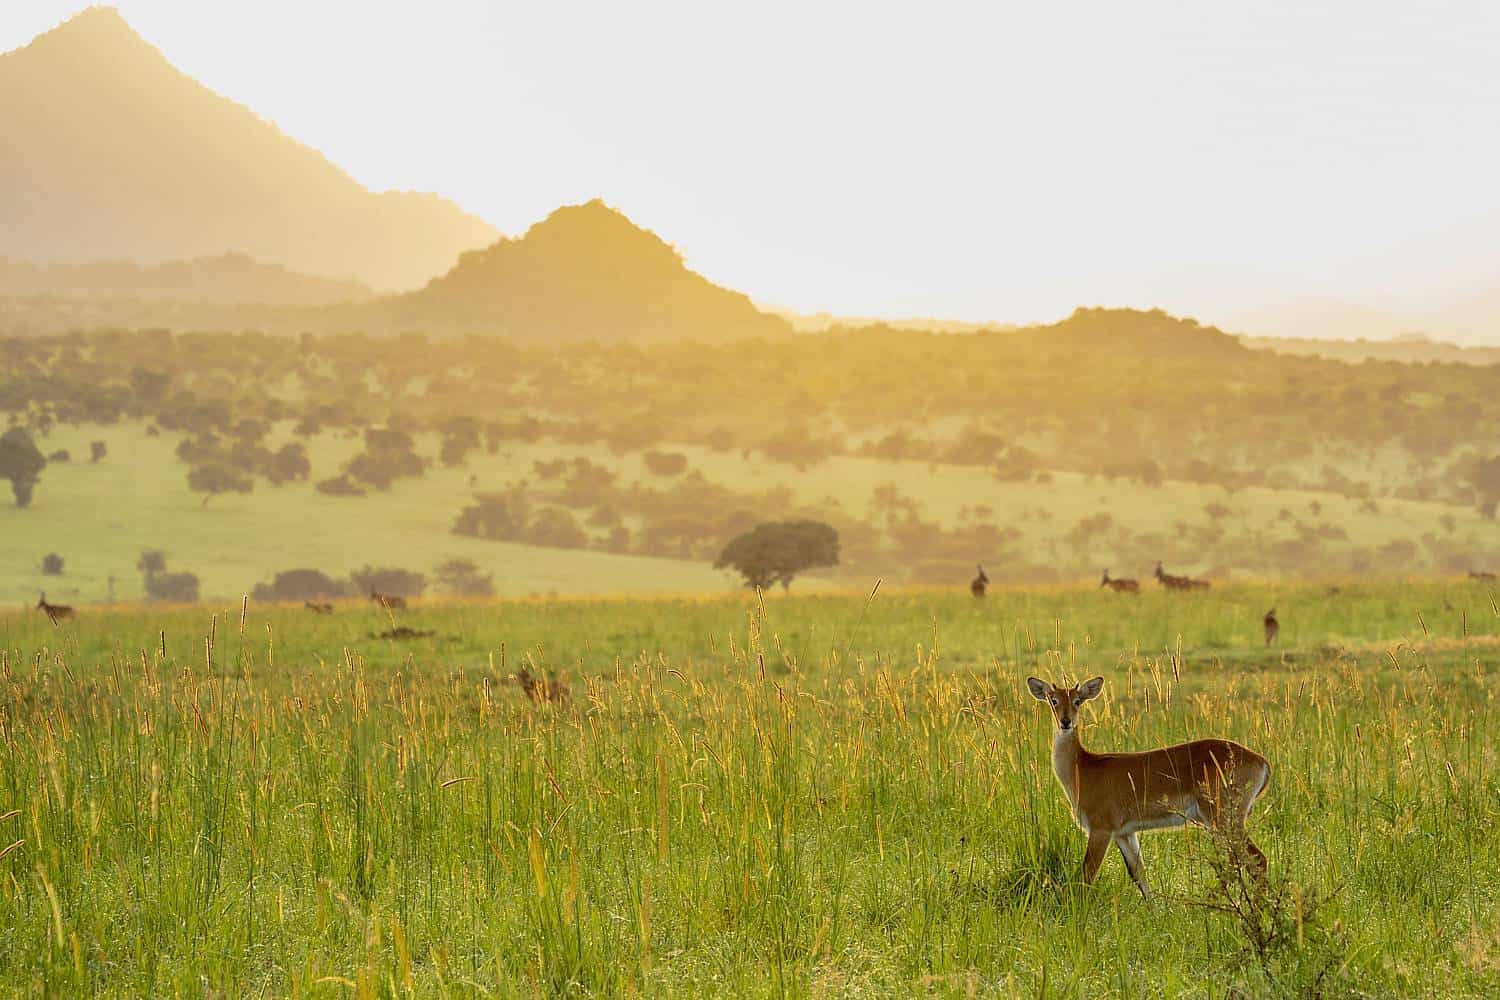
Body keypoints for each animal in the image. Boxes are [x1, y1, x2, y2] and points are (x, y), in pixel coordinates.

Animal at [1026, 671, 1272, 899]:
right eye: (1053, 700)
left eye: (1078, 700)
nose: (1065, 722)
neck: (1083, 767)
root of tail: (1261, 761)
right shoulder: (1124, 834)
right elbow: (1139, 874)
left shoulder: (1100, 830)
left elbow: (1087, 873)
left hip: (1222, 819)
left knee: (1254, 860)